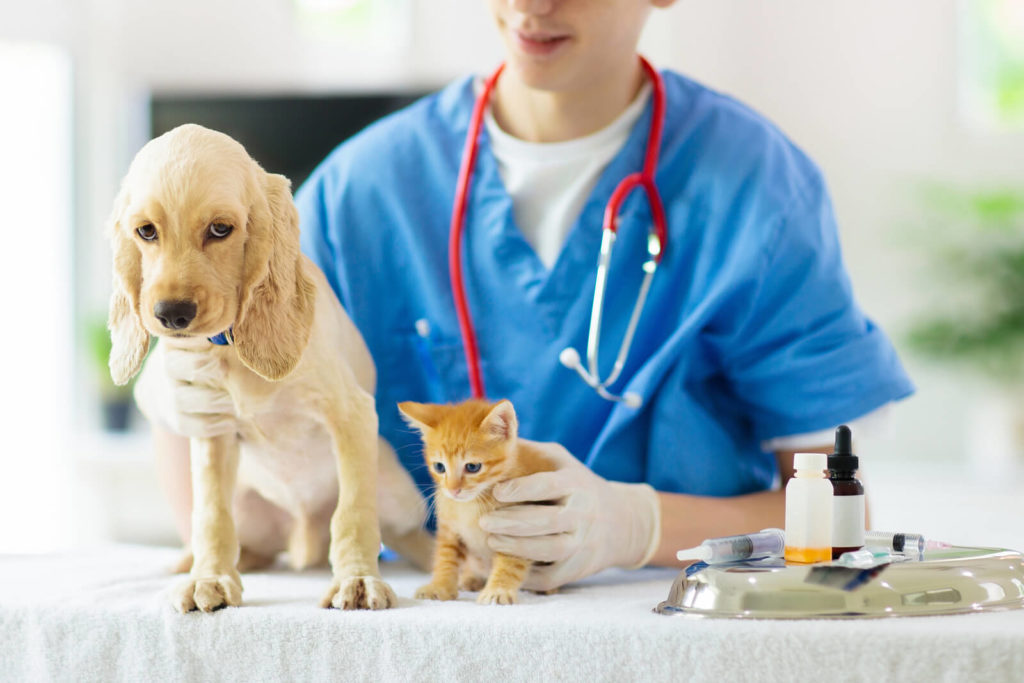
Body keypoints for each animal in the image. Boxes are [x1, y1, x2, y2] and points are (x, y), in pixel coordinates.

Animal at [108, 124, 432, 614]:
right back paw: (191, 562)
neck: (232, 352)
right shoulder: (214, 432)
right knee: (248, 543)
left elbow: (354, 512)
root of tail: (302, 541)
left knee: (409, 534)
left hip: (396, 491)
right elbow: (211, 515)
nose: (171, 314)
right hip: (251, 511)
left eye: (220, 229)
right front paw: (211, 577)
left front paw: (357, 578)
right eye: (146, 231)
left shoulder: (352, 414)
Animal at [399, 397, 561, 606]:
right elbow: (445, 556)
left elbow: (510, 562)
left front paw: (498, 589)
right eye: (439, 467)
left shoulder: (519, 529)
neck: (472, 503)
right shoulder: (449, 527)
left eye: (473, 467)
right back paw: (471, 578)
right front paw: (440, 585)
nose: (452, 490)